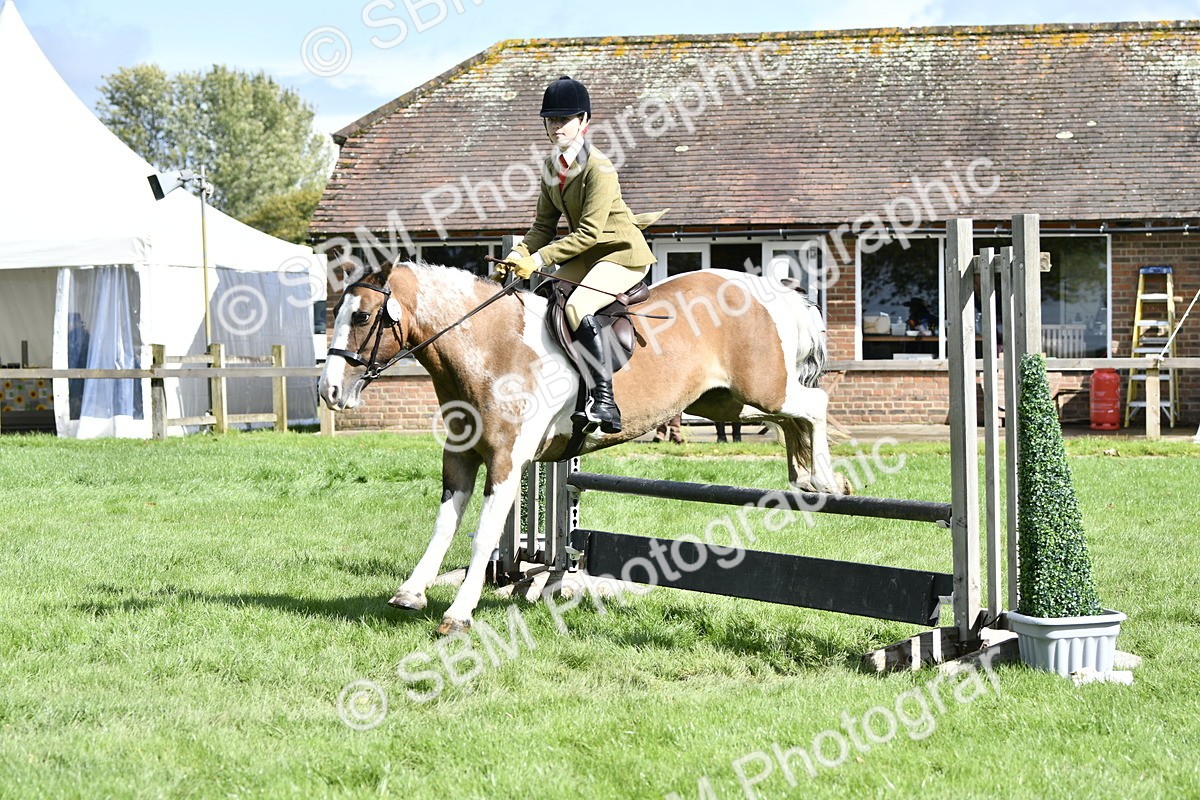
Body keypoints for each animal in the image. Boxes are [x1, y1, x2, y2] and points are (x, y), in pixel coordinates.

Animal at [319, 261, 846, 634]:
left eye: (361, 316)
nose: (329, 391)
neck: (490, 346)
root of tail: (770, 290)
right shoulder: (461, 456)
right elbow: (444, 525)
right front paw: (412, 592)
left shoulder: (508, 460)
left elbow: (484, 534)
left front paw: (459, 613)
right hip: (728, 403)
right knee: (791, 419)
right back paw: (803, 478)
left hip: (761, 391)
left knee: (813, 404)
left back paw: (824, 480)